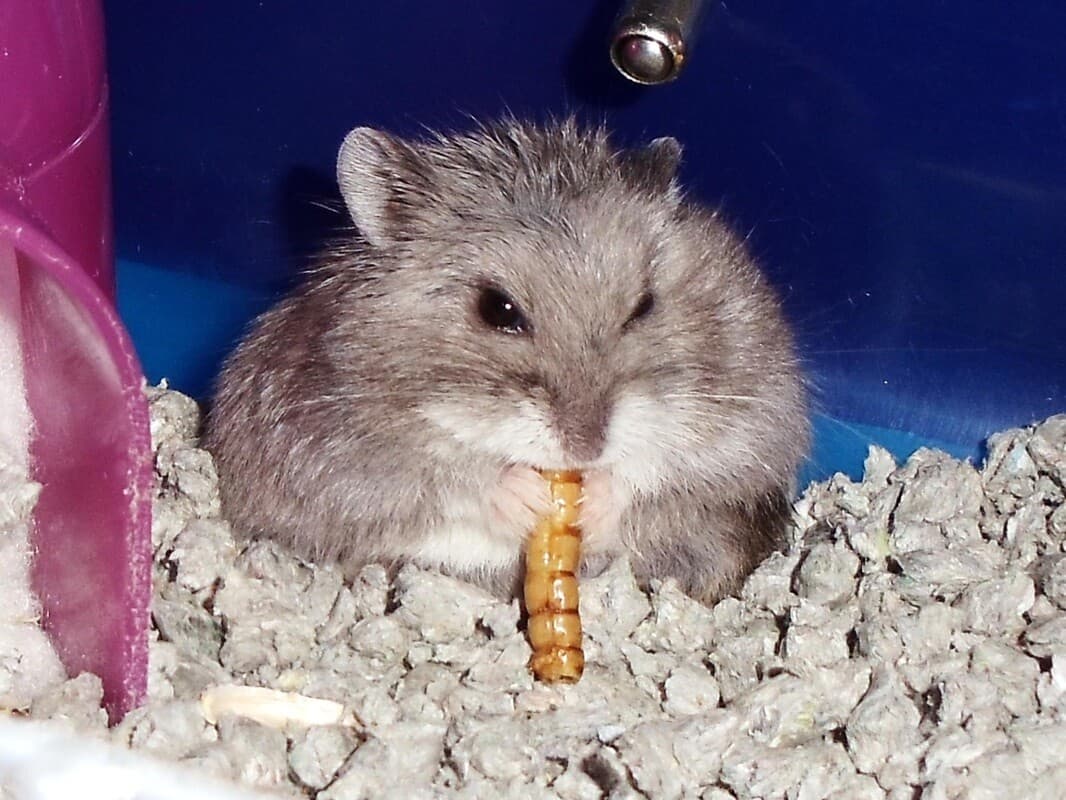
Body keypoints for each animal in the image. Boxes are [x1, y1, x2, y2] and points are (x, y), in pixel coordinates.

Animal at [202, 118, 809, 604]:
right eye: (497, 309)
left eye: (644, 305)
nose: (586, 448)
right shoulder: (336, 456)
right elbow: (448, 479)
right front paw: (524, 494)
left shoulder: (753, 418)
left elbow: (673, 468)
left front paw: (597, 495)